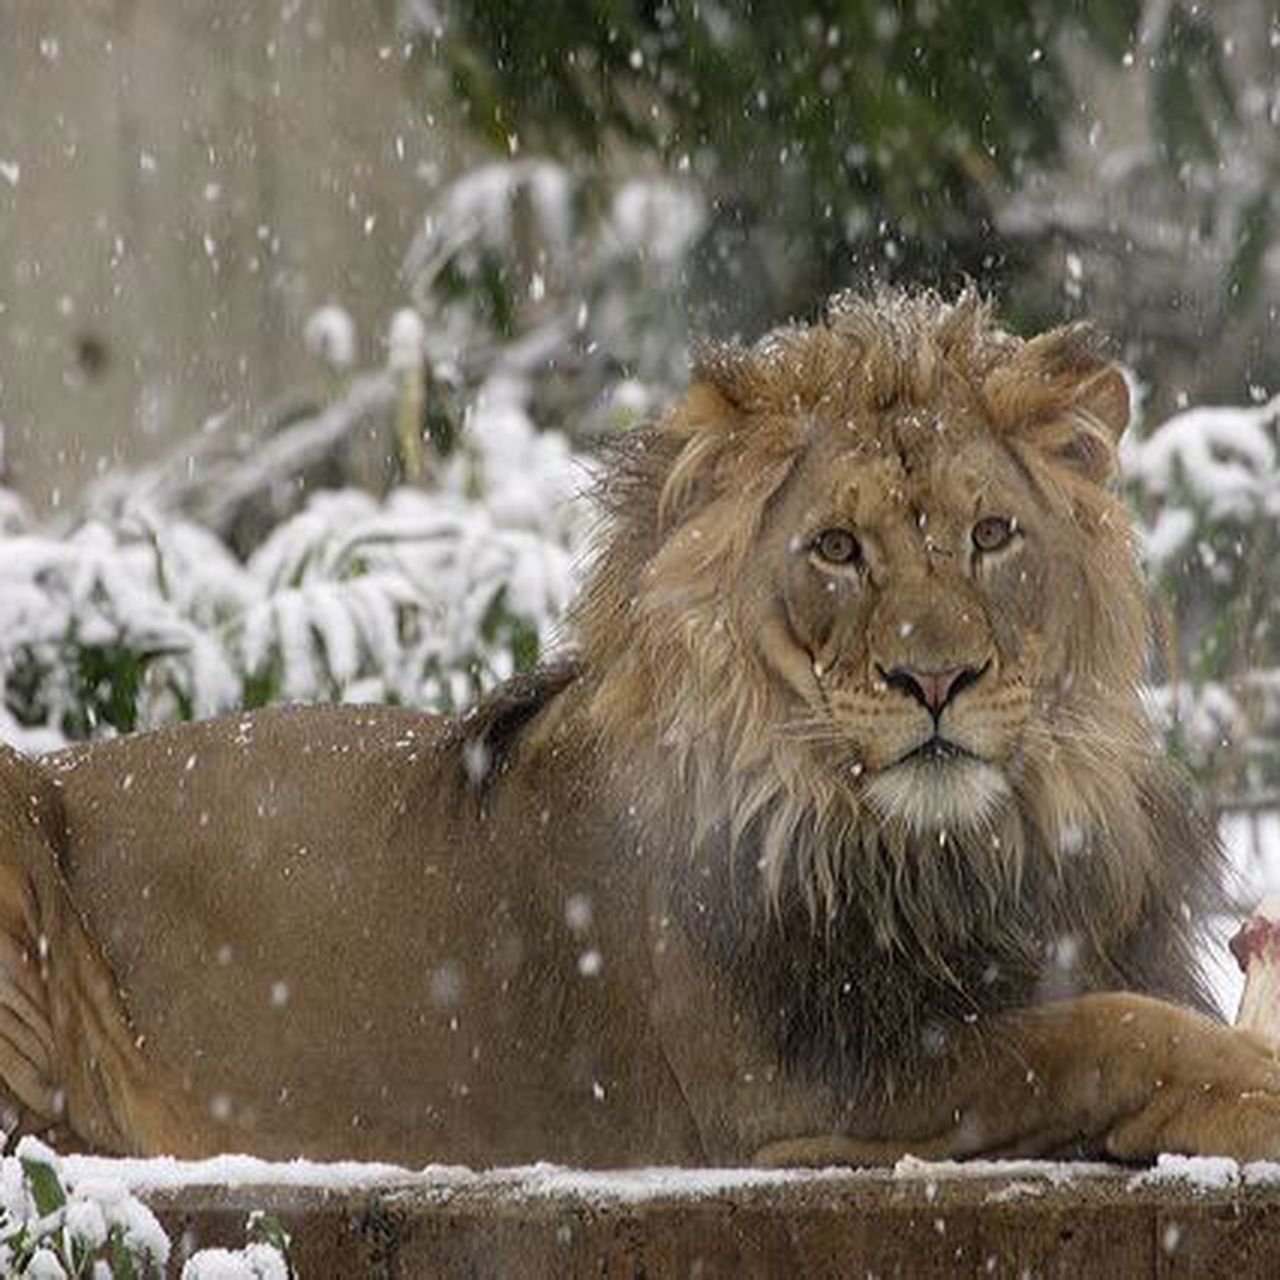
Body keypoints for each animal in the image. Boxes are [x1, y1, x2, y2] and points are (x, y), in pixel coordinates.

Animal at [0, 288, 1277, 1169]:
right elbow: (1101, 1032)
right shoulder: (792, 1094)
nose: (934, 677)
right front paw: (1252, 1088)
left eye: (992, 535)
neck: (960, 851)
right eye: (835, 548)